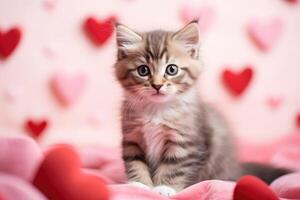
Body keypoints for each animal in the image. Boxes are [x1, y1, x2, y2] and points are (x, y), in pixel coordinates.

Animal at [113, 21, 290, 196]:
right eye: (143, 70)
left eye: (172, 69)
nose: (157, 85)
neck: (157, 109)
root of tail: (238, 167)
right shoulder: (132, 140)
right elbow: (135, 164)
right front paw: (138, 185)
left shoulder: (185, 144)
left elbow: (174, 168)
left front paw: (164, 187)